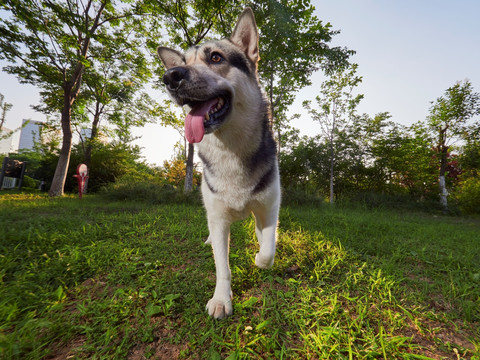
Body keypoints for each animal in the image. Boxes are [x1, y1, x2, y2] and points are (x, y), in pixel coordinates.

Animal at [158, 7, 280, 318]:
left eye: (215, 57)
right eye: (183, 62)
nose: (170, 76)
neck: (230, 149)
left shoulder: (268, 209)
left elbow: (268, 249)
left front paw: (260, 257)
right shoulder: (219, 218)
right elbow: (222, 267)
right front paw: (221, 300)